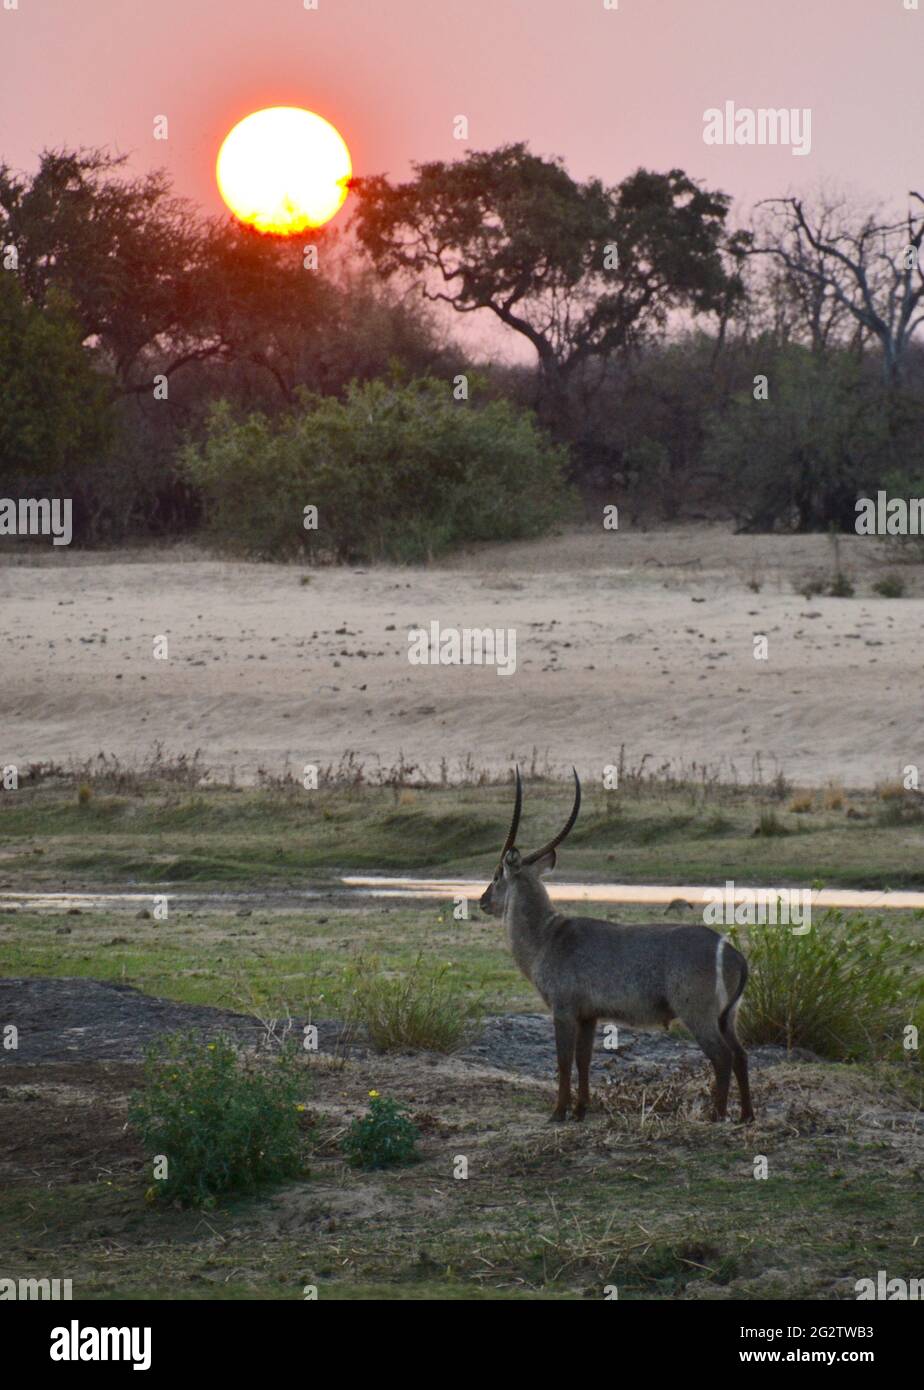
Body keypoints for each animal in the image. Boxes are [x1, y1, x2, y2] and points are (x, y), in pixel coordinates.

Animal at [477, 778, 755, 1123]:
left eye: (496, 875)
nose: (482, 901)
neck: (547, 936)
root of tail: (732, 953)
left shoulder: (563, 1009)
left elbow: (563, 1061)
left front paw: (559, 1112)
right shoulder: (589, 1015)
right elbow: (583, 1060)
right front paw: (581, 1110)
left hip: (698, 1014)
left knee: (723, 1056)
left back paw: (717, 1115)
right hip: (727, 1015)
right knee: (741, 1054)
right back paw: (746, 1116)